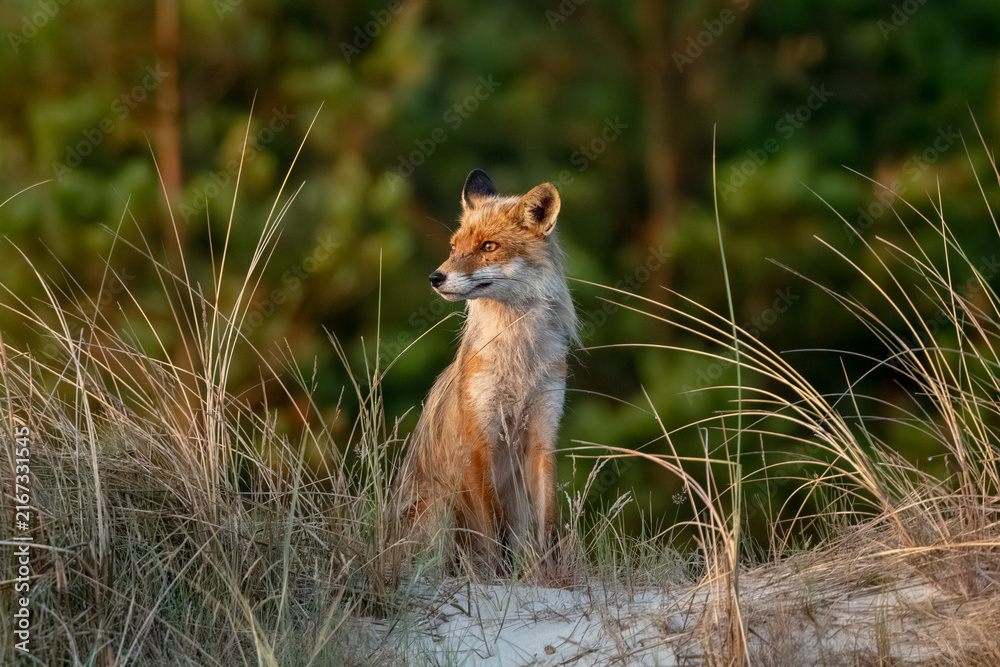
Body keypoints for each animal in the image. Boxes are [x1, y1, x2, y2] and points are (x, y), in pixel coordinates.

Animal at [396, 169, 578, 567]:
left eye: (489, 247)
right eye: (454, 248)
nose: (435, 277)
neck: (518, 364)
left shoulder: (543, 434)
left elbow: (550, 529)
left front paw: (553, 574)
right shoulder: (480, 440)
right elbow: (496, 533)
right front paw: (502, 575)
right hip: (438, 509)